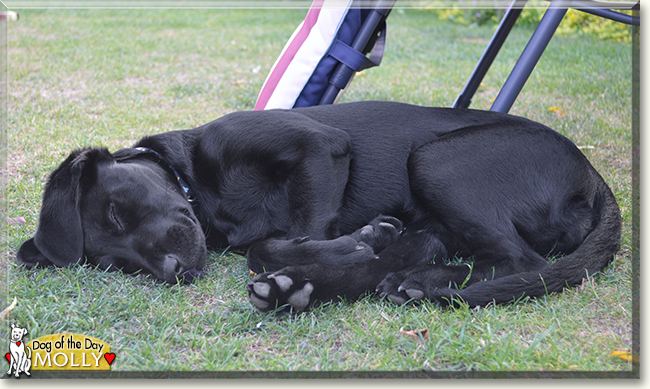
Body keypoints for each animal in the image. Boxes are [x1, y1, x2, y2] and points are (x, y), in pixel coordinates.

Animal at [17, 101, 620, 310]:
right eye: (116, 264)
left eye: (117, 212)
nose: (170, 272)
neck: (200, 188)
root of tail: (593, 178)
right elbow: (267, 245)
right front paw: (351, 246)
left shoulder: (319, 147)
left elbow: (284, 237)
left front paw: (351, 241)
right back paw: (302, 289)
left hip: (436, 161)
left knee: (522, 263)